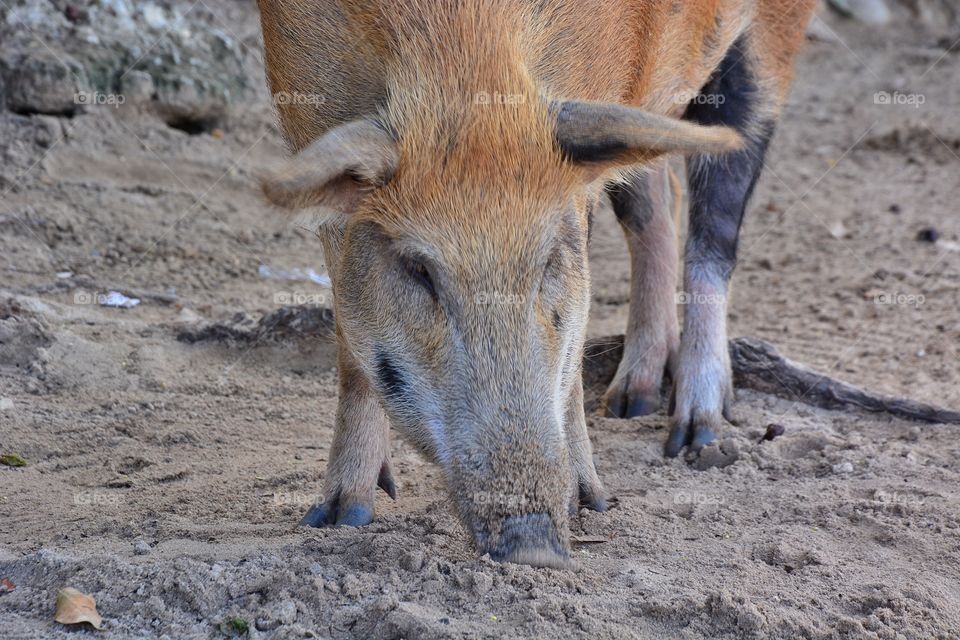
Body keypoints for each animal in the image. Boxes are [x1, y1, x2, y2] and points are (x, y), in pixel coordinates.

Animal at [256, 0, 816, 568]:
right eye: (418, 269)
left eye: (548, 261)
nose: (535, 548)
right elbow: (349, 342)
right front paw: (336, 518)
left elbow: (575, 331)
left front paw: (590, 503)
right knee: (658, 198)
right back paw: (630, 403)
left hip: (769, 45)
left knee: (715, 224)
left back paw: (696, 437)